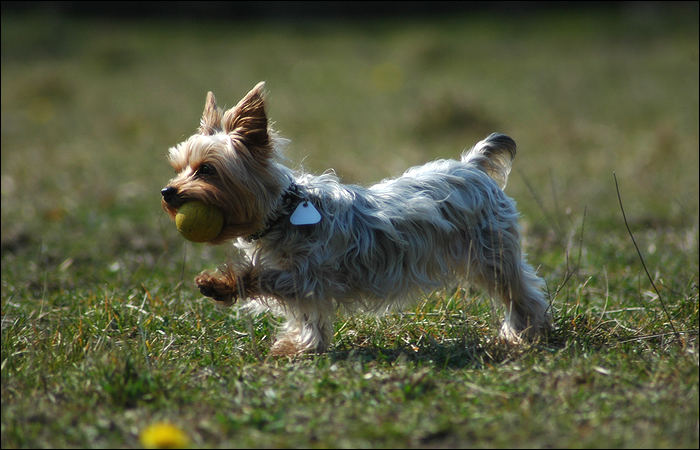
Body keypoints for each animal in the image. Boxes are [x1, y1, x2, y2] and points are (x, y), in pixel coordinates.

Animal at [161, 81, 548, 356]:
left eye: (207, 170)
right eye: (179, 168)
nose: (167, 192)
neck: (284, 212)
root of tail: (473, 166)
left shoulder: (309, 273)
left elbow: (259, 276)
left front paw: (217, 284)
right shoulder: (309, 287)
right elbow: (308, 317)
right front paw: (300, 347)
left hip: (491, 252)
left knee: (521, 290)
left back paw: (525, 334)